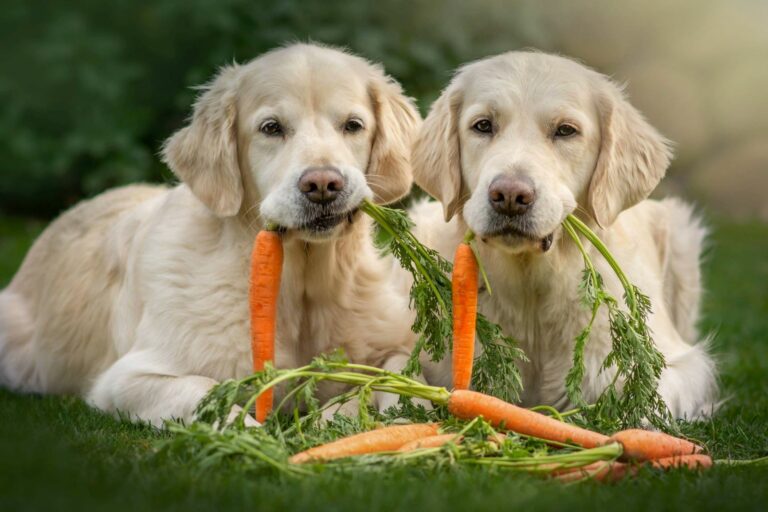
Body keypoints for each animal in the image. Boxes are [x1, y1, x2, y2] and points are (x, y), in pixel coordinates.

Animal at [0, 44, 420, 426]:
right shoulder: (126, 379)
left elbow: (401, 378)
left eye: (353, 125)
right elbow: (207, 394)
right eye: (271, 128)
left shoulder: (395, 343)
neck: (299, 287)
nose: (322, 185)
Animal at [412, 51, 716, 420]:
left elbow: (645, 403)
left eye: (565, 131)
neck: (531, 291)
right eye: (483, 125)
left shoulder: (684, 365)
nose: (509, 196)